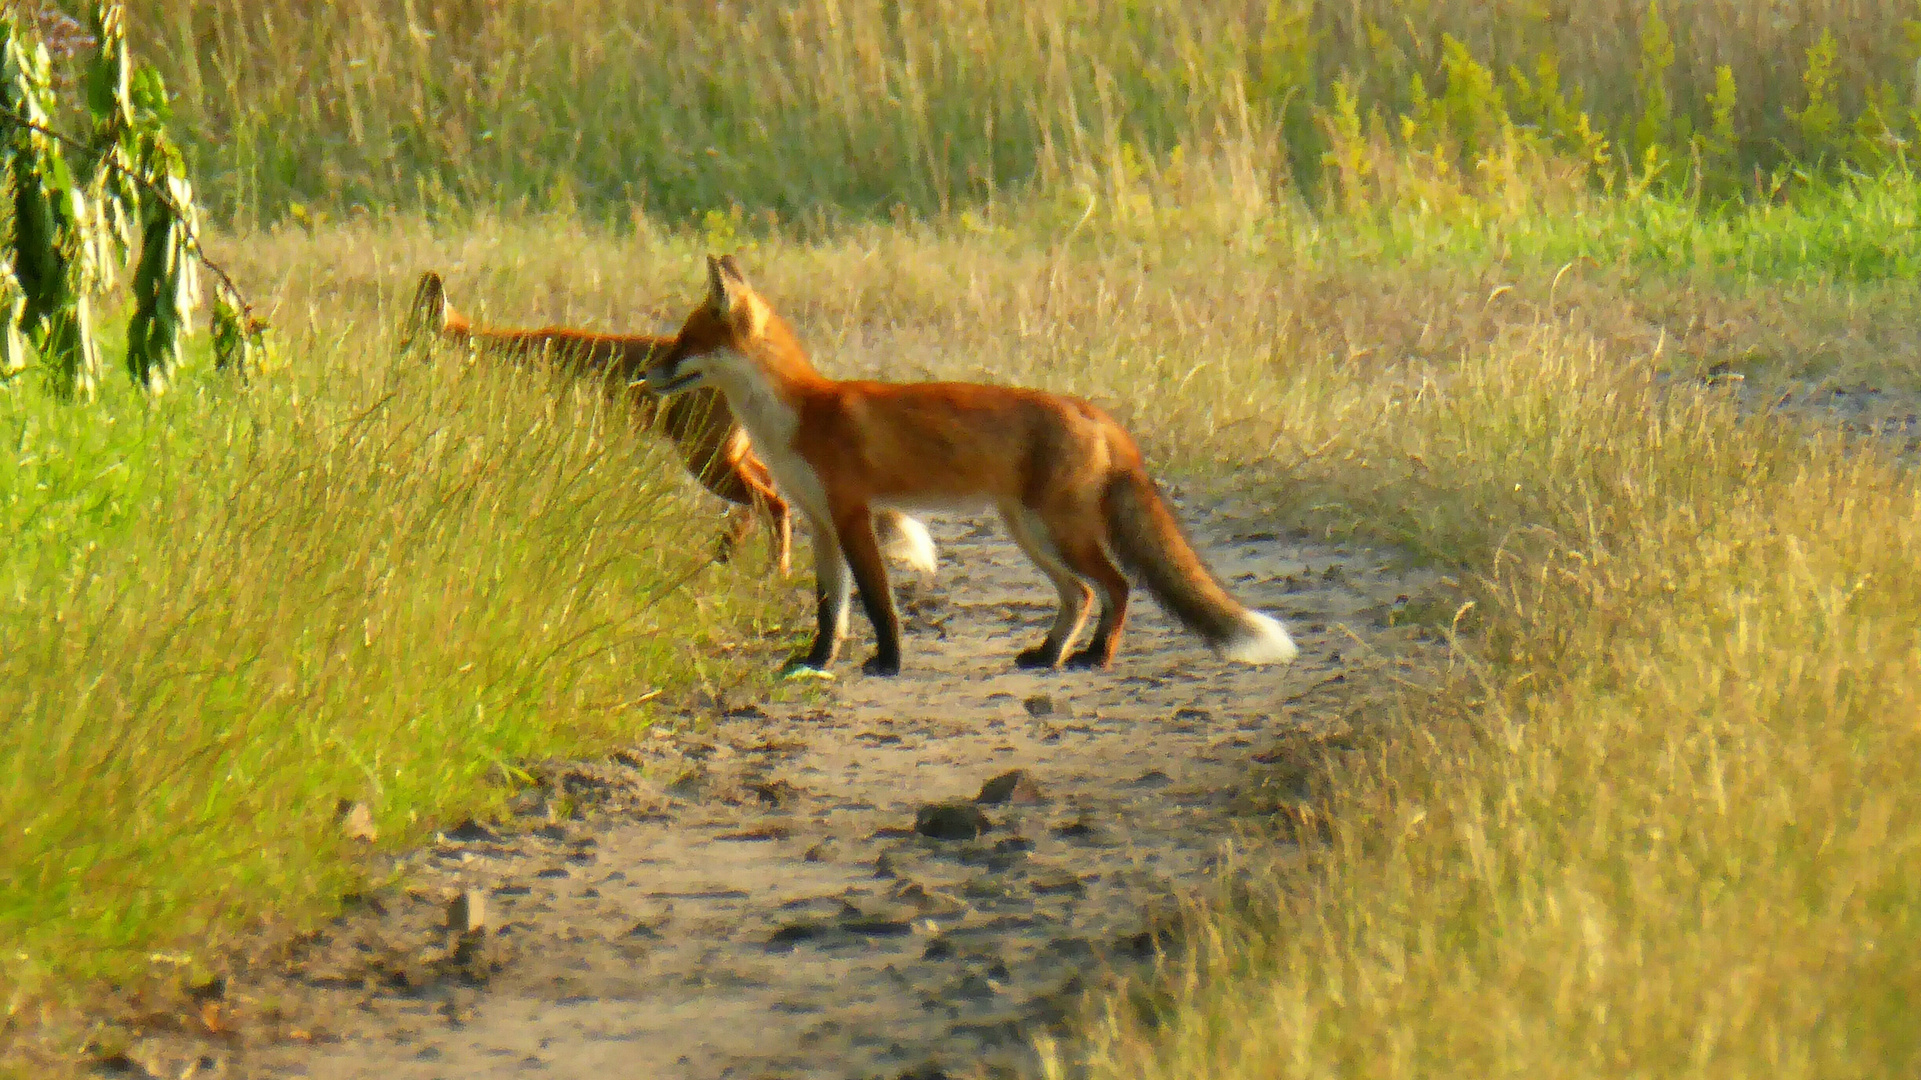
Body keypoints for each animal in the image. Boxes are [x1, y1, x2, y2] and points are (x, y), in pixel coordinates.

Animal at [399, 272, 937, 576]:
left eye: (405, 347)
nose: (391, 376)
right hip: (724, 462)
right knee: (763, 503)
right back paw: (731, 558)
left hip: (707, 464)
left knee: (775, 504)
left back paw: (773, 573)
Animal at [649, 251, 1306, 672]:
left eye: (684, 342)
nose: (644, 374)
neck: (800, 415)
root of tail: (1095, 411)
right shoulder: (821, 524)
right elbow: (829, 609)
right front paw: (814, 662)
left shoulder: (854, 515)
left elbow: (878, 603)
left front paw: (888, 663)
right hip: (1030, 533)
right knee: (1080, 595)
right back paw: (1049, 655)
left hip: (1059, 531)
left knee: (1117, 586)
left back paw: (1095, 657)